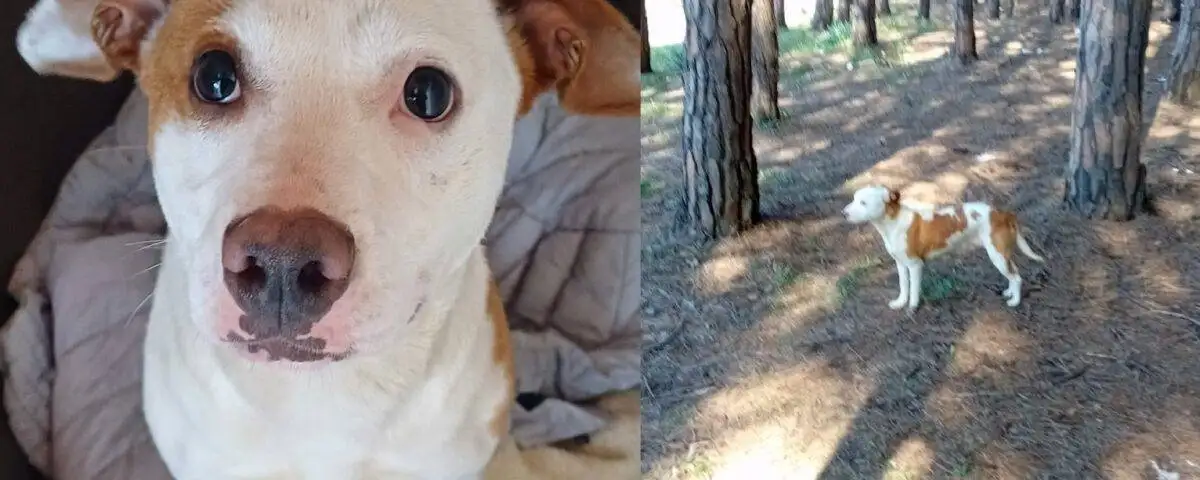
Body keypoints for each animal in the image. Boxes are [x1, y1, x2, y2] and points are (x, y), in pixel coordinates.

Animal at [844, 186, 1041, 309]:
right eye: (854, 199)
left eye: (863, 202)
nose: (843, 213)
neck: (892, 222)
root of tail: (1002, 214)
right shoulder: (900, 264)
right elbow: (904, 285)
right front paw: (900, 303)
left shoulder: (915, 265)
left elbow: (914, 289)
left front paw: (912, 307)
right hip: (1002, 254)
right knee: (1014, 273)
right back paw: (1009, 293)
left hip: (997, 256)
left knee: (1017, 278)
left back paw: (1015, 301)